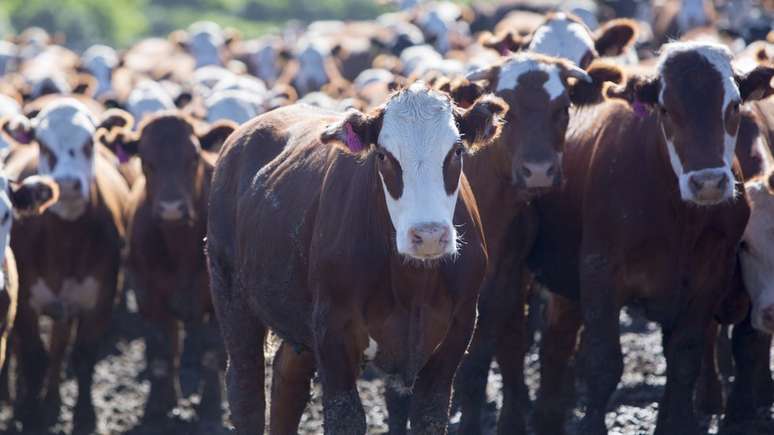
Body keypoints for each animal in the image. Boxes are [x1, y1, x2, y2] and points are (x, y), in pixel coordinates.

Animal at [0, 99, 131, 435]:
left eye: (90, 141)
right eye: (42, 143)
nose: (68, 185)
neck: (66, 242)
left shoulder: (101, 299)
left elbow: (83, 355)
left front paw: (83, 416)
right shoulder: (25, 304)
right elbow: (34, 357)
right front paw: (30, 414)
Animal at [103, 110, 236, 424]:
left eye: (193, 157)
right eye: (146, 160)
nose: (171, 209)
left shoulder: (217, 301)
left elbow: (212, 353)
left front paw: (211, 407)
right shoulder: (147, 295)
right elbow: (161, 353)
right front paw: (157, 407)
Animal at [206, 82, 506, 435]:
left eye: (456, 151)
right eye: (384, 155)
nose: (429, 235)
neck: (412, 284)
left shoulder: (457, 331)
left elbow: (429, 416)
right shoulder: (332, 330)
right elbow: (345, 417)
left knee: (287, 381)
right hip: (231, 294)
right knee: (245, 390)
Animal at [528, 41, 774, 435]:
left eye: (734, 105)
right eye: (666, 108)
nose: (708, 182)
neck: (678, 216)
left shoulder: (710, 276)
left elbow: (687, 354)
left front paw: (679, 423)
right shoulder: (599, 271)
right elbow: (603, 361)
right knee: (556, 342)